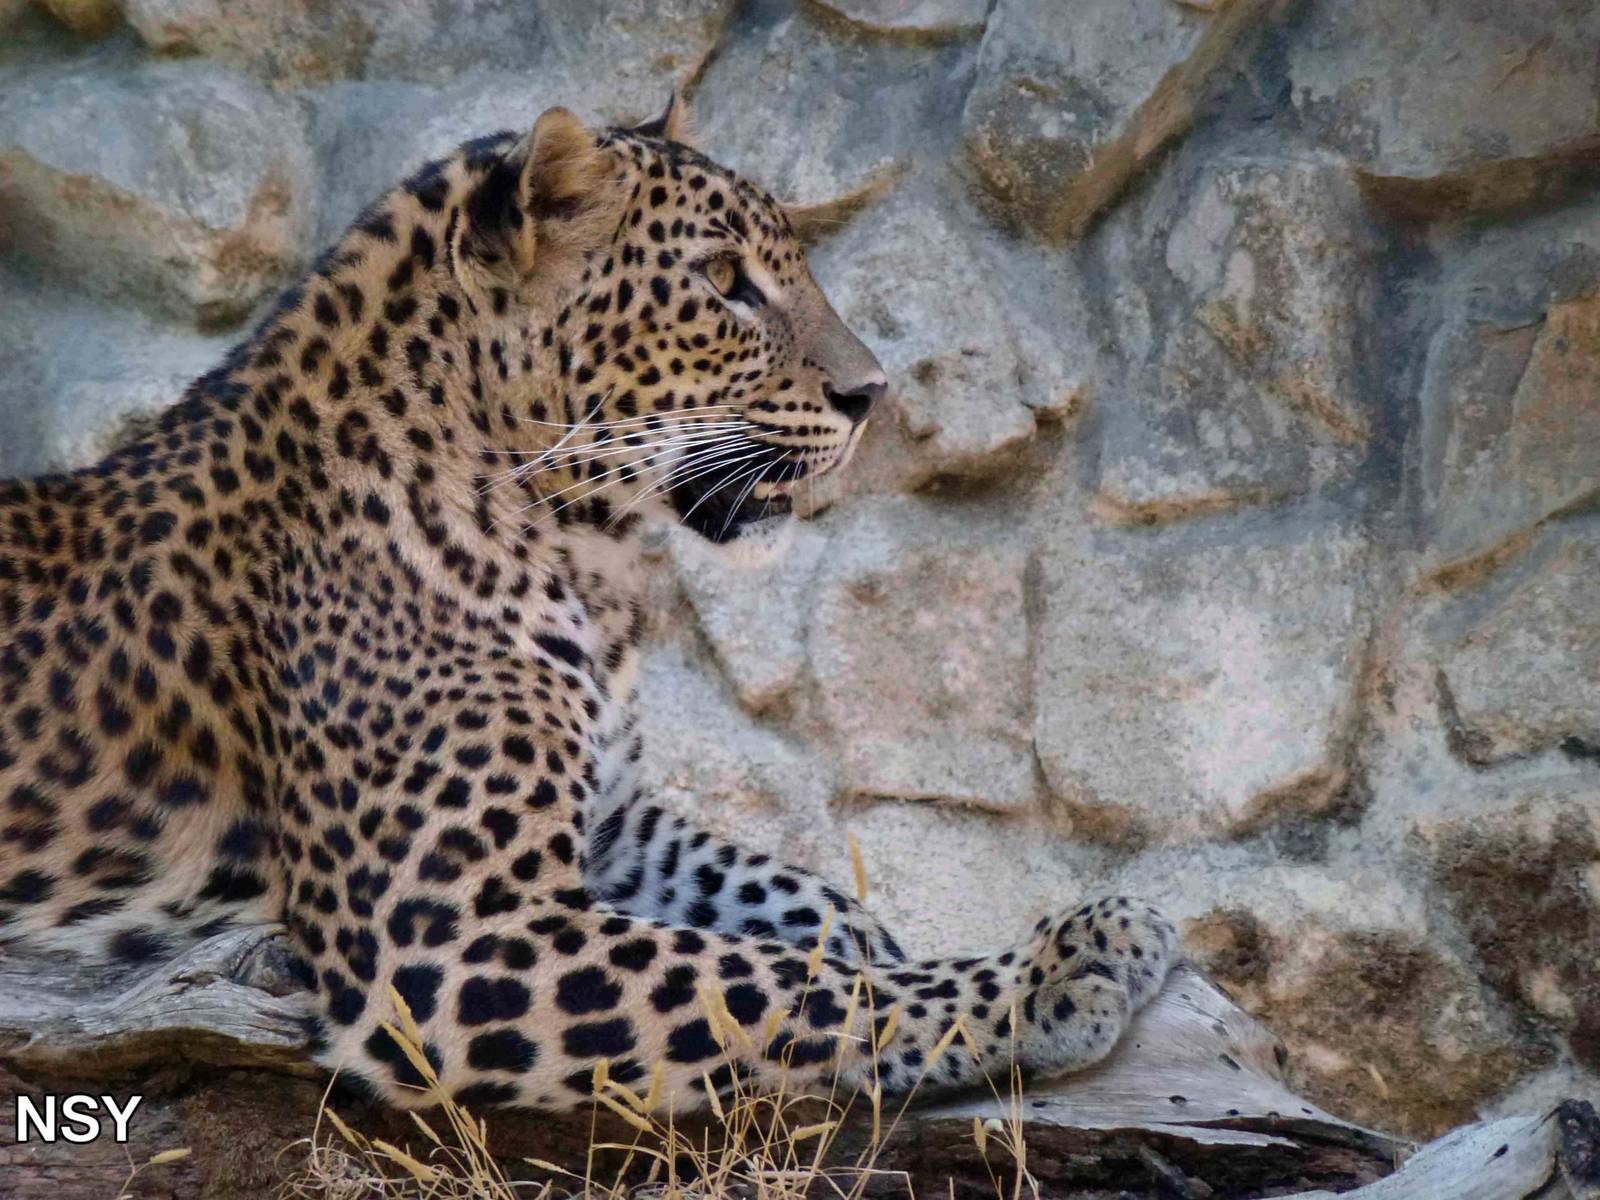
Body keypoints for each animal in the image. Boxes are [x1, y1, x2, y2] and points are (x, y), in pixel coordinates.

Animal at [0, 95, 1178, 1112]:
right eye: (724, 282)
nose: (872, 395)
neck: (580, 555)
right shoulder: (453, 938)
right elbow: (762, 979)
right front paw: (1061, 964)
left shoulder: (613, 822)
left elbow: (788, 898)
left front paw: (883, 935)